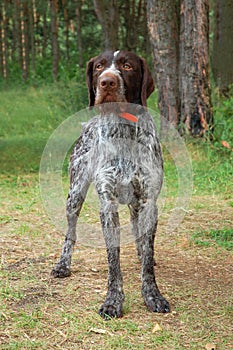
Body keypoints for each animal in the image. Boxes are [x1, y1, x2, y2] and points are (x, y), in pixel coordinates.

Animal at [52, 50, 170, 318]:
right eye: (99, 66)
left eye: (127, 66)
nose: (107, 82)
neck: (124, 131)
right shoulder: (108, 204)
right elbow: (113, 260)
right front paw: (113, 300)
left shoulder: (148, 202)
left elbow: (147, 256)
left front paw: (152, 295)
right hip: (75, 195)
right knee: (70, 233)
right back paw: (63, 264)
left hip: (136, 205)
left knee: (139, 235)